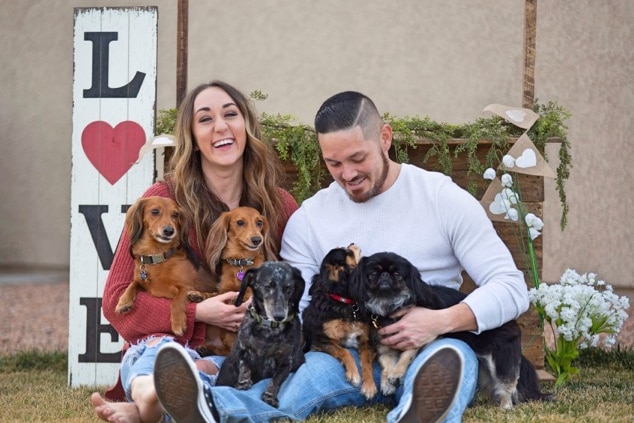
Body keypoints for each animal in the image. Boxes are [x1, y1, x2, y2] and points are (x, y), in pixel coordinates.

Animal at [216, 262, 304, 408]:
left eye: (289, 288)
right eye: (267, 286)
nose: (279, 316)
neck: (268, 329)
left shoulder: (286, 362)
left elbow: (276, 380)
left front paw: (270, 396)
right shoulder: (243, 350)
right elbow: (244, 366)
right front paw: (243, 383)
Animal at [302, 245, 376, 400]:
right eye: (348, 252)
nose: (352, 244)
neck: (345, 302)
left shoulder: (365, 340)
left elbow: (366, 363)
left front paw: (369, 386)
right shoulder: (321, 339)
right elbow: (344, 351)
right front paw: (353, 374)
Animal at [348, 253, 552, 410]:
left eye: (397, 274)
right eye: (373, 273)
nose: (384, 275)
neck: (389, 306)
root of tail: (510, 321)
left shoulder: (418, 336)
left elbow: (405, 357)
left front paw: (396, 374)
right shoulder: (384, 349)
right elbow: (386, 364)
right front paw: (387, 382)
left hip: (500, 362)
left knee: (507, 385)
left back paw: (505, 407)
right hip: (485, 369)